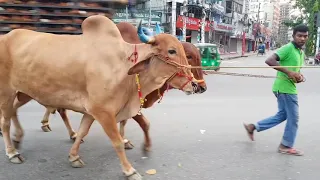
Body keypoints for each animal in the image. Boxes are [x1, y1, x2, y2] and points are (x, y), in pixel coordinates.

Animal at [0, 15, 200, 179]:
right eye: (172, 51)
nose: (195, 85)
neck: (124, 65)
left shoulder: (91, 111)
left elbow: (82, 132)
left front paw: (74, 156)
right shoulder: (103, 111)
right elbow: (117, 141)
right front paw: (130, 170)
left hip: (24, 92)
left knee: (13, 111)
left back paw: (18, 137)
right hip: (7, 92)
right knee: (5, 121)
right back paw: (12, 152)